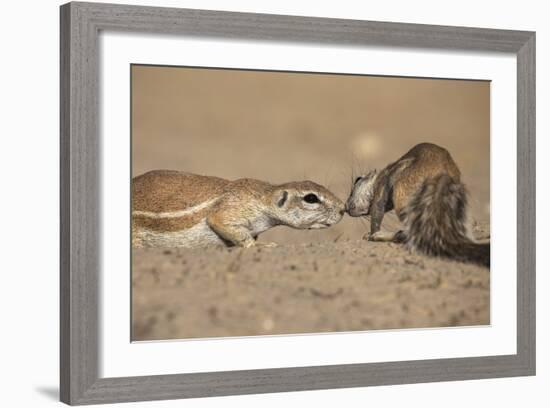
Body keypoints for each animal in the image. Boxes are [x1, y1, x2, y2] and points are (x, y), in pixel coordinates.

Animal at [132, 170, 344, 249]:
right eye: (311, 198)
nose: (343, 208)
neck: (263, 197)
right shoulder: (232, 209)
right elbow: (220, 221)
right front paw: (260, 246)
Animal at [348, 143, 494, 268]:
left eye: (357, 180)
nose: (347, 207)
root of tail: (442, 175)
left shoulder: (382, 185)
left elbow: (377, 210)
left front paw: (371, 234)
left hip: (404, 199)